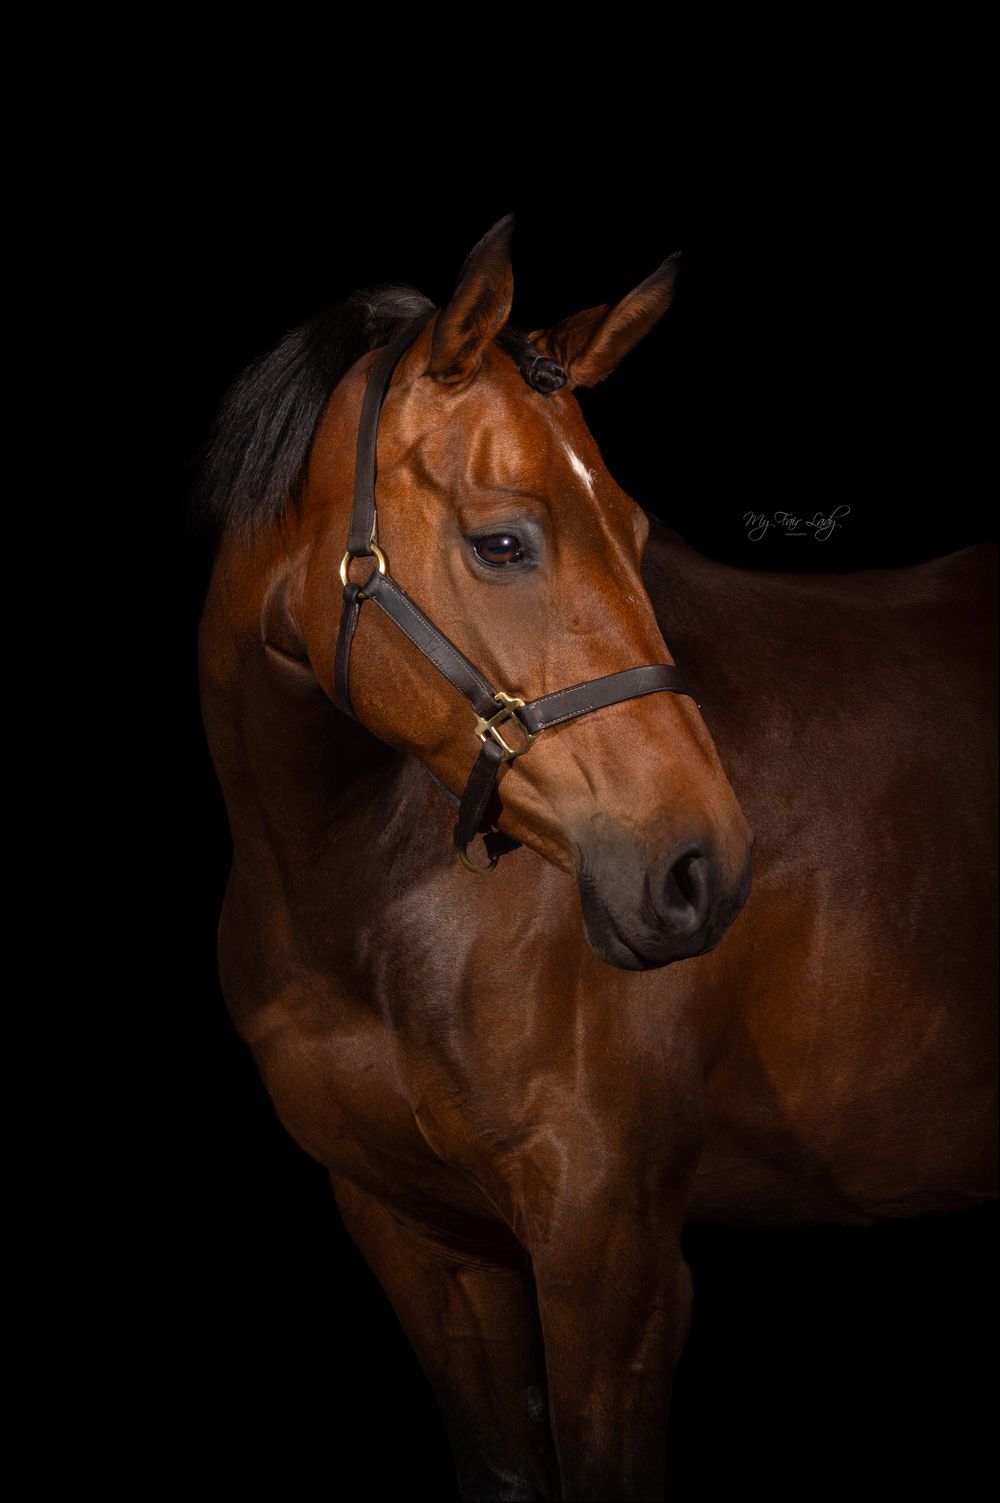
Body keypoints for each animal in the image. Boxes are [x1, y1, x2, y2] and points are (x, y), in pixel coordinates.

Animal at [194, 214, 998, 1501]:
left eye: (633, 536)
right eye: (502, 541)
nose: (699, 867)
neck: (364, 914)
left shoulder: (610, 1262)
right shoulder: (420, 1239)